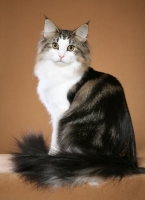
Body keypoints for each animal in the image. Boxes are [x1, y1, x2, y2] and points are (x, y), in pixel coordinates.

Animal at [11, 18, 145, 188]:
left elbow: (55, 139)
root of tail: (122, 160)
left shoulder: (60, 113)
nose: (61, 56)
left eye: (70, 47)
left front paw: (51, 156)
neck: (58, 72)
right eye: (55, 45)